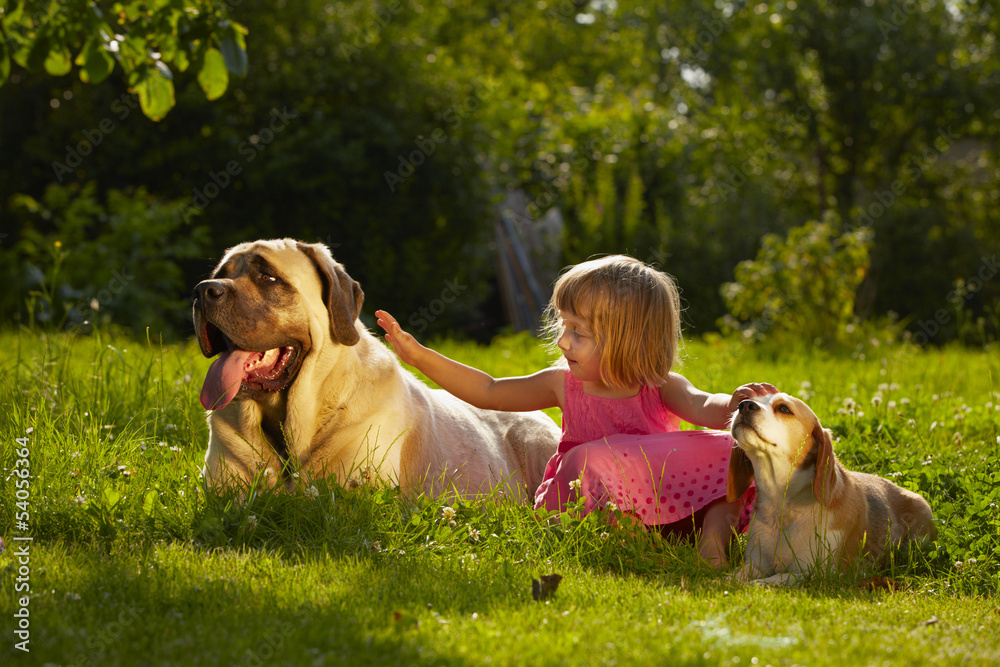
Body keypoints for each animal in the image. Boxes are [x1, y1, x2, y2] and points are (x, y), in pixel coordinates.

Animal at [728, 392, 936, 584]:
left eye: (784, 408)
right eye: (745, 399)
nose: (744, 405)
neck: (782, 504)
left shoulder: (811, 572)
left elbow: (762, 583)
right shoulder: (755, 563)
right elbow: (732, 577)